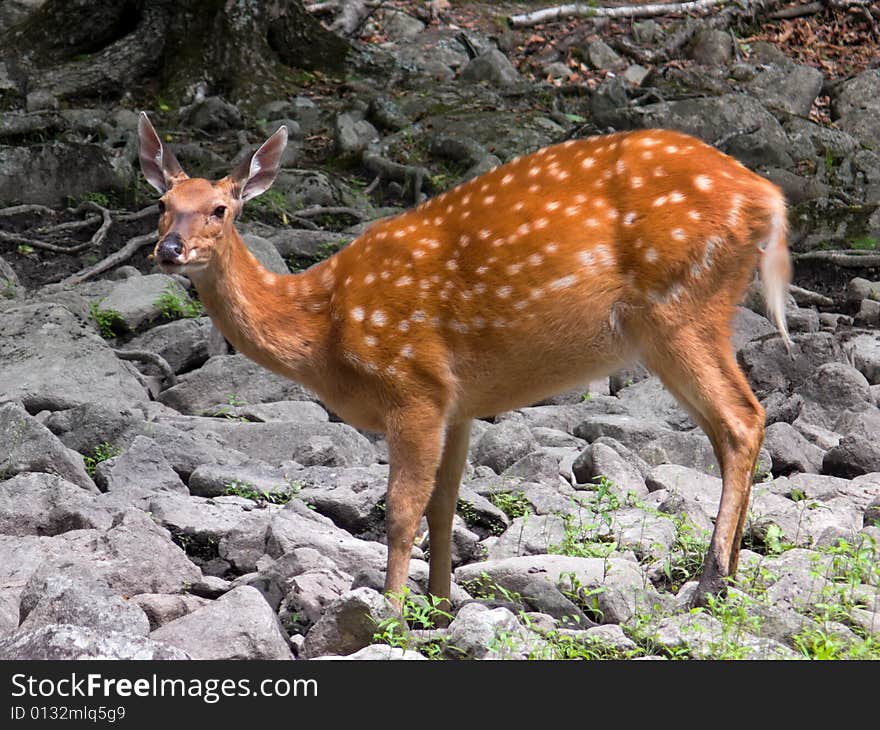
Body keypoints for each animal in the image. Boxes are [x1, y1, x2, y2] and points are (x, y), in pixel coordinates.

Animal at [136, 109, 792, 608]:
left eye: (220, 209)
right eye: (162, 202)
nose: (169, 250)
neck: (324, 329)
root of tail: (772, 198)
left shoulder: (412, 383)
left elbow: (402, 510)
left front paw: (393, 610)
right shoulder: (457, 403)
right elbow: (445, 506)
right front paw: (441, 603)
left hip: (681, 303)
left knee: (741, 419)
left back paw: (710, 582)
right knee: (735, 426)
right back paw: (731, 572)